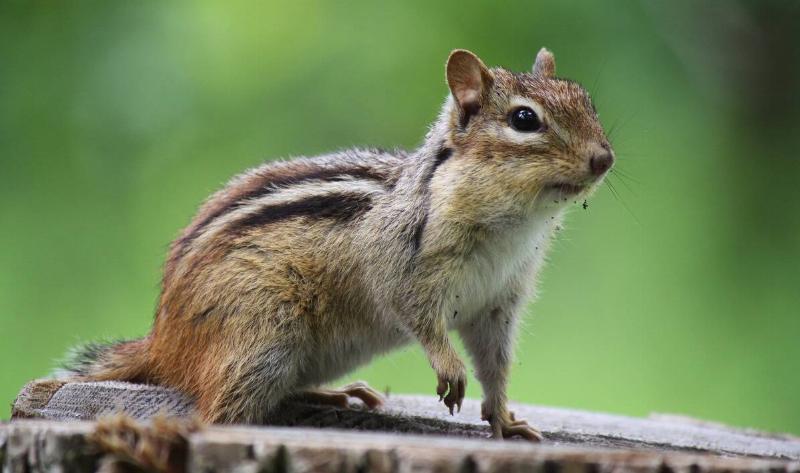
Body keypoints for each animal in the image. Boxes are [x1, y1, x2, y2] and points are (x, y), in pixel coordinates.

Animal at [61, 48, 613, 442]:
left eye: (586, 102)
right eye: (525, 120)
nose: (604, 158)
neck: (514, 226)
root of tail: (162, 343)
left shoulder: (499, 302)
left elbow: (495, 364)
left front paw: (504, 419)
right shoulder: (402, 265)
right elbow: (416, 315)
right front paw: (449, 367)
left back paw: (333, 395)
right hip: (262, 339)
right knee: (215, 414)